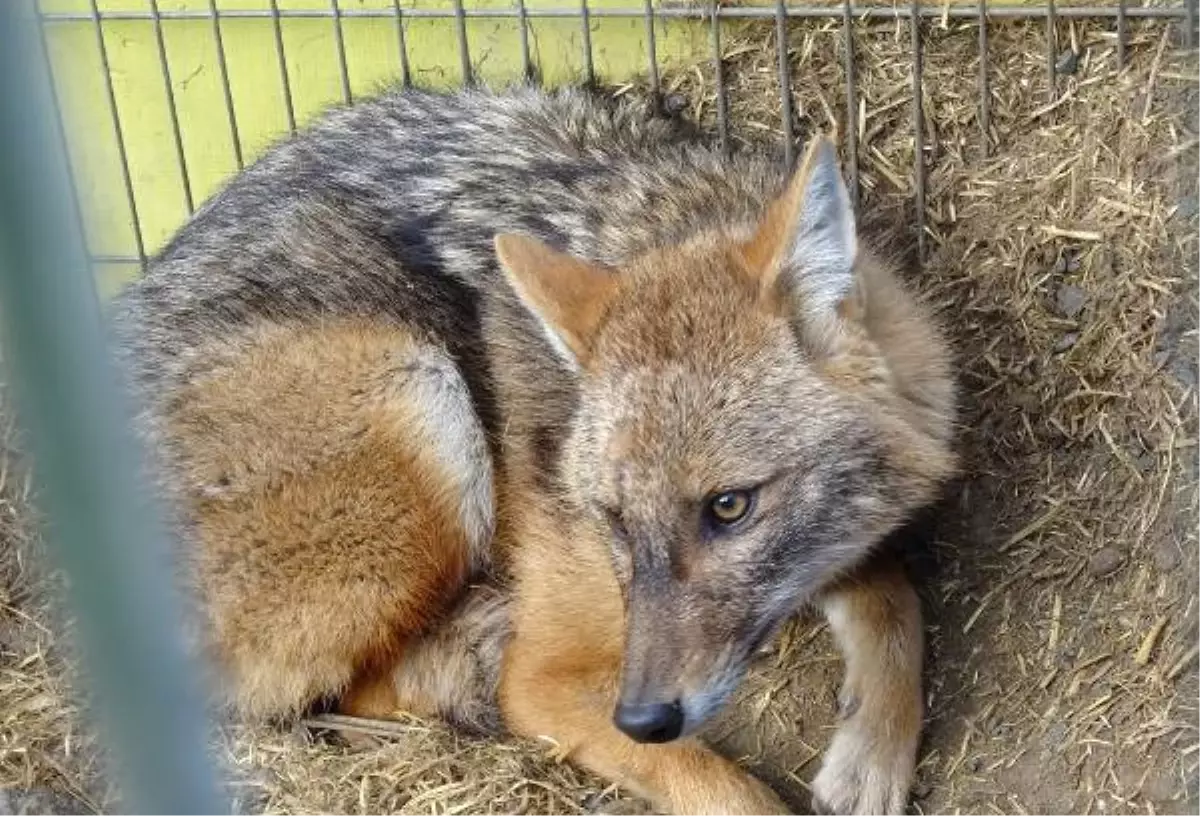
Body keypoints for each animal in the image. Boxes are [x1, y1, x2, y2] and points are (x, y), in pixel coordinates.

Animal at [112, 85, 955, 811]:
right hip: (423, 400)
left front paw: (871, 755)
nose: (643, 718)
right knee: (342, 694)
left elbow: (894, 599)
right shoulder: (547, 680)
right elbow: (726, 790)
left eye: (729, 507)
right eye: (612, 519)